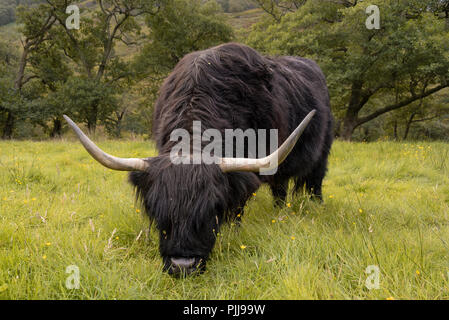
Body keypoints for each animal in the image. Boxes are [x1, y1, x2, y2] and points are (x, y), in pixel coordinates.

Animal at [65, 43, 334, 276]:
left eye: (213, 207)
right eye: (155, 208)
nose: (182, 266)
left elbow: (238, 207)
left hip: (322, 152)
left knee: (314, 182)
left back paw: (316, 206)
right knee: (280, 187)